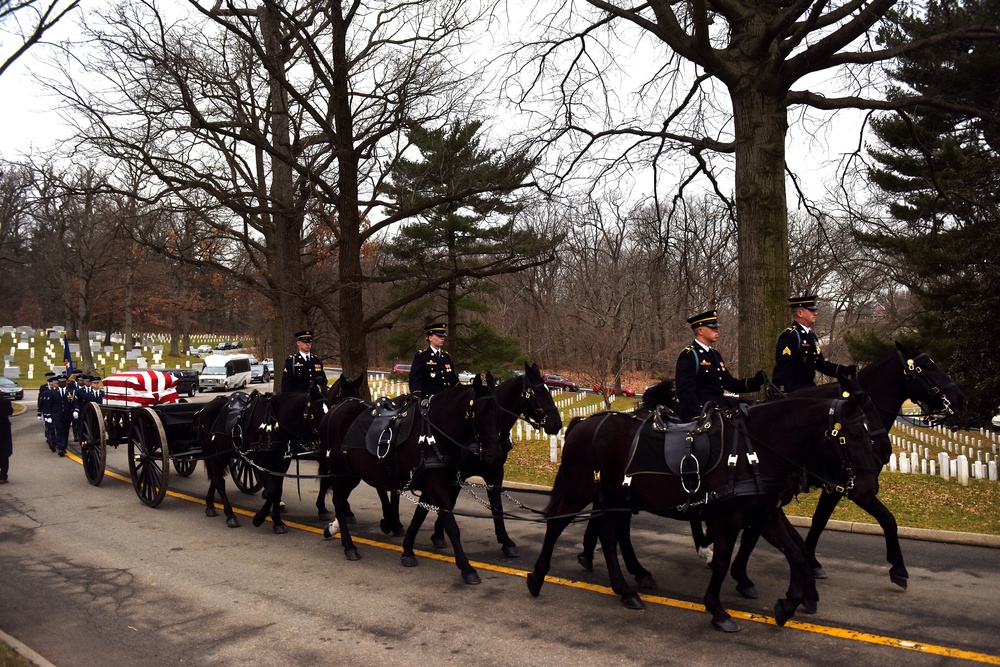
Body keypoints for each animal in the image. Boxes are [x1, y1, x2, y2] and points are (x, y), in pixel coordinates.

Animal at [324, 376, 504, 584]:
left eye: (499, 412)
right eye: (479, 412)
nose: (494, 454)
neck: (435, 433)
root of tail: (336, 408)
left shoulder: (431, 486)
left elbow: (418, 517)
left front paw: (408, 550)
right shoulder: (435, 485)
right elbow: (451, 525)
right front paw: (467, 568)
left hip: (353, 474)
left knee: (342, 500)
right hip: (342, 471)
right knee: (338, 501)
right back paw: (349, 545)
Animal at [528, 394, 880, 636]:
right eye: (854, 435)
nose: (869, 487)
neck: (755, 450)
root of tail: (585, 423)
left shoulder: (765, 515)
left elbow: (795, 552)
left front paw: (788, 604)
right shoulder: (729, 518)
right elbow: (723, 562)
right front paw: (718, 610)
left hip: (616, 497)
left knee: (610, 536)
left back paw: (626, 589)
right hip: (580, 490)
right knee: (558, 526)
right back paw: (537, 577)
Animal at [728, 344, 968, 596]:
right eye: (929, 367)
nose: (961, 400)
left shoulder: (849, 486)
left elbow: (878, 519)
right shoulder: (847, 487)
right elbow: (826, 520)